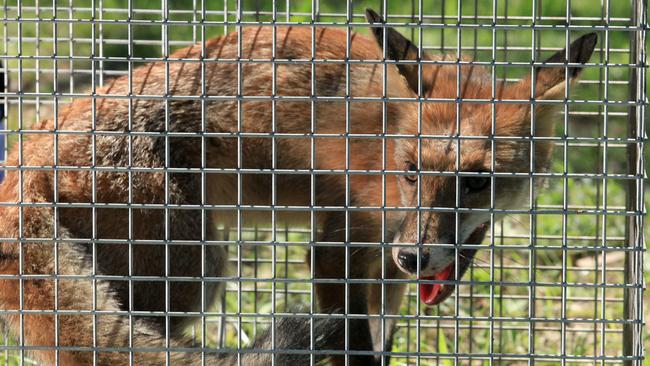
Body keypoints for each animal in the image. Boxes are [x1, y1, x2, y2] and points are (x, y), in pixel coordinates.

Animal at [0, 6, 596, 366]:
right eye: (411, 171)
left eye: (476, 182)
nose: (413, 256)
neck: (385, 141)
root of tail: (28, 145)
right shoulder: (336, 253)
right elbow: (355, 350)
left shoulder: (386, 275)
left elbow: (381, 341)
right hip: (194, 269)